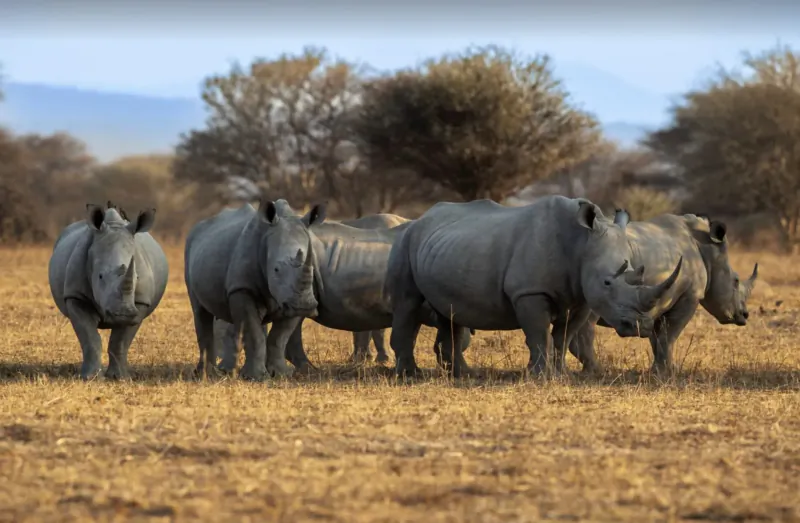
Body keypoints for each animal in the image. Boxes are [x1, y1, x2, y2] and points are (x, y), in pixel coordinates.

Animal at [48, 202, 169, 380]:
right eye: (100, 276)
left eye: (137, 277)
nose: (123, 313)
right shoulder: (76, 296)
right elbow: (91, 339)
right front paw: (90, 378)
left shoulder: (140, 302)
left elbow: (120, 341)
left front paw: (120, 378)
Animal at [184, 199, 326, 380]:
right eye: (276, 269)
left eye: (313, 269)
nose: (304, 306)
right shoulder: (242, 288)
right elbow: (254, 333)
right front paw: (257, 377)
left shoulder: (292, 298)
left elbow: (279, 337)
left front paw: (280, 374)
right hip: (190, 249)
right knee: (200, 311)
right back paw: (208, 375)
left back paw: (227, 372)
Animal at [385, 196, 684, 377]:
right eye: (607, 282)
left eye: (637, 274)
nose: (641, 326)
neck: (581, 242)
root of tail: (419, 218)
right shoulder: (529, 292)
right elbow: (539, 335)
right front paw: (541, 375)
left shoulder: (581, 298)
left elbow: (563, 336)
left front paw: (561, 374)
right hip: (406, 240)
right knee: (408, 303)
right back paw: (409, 374)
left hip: (446, 247)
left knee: (450, 313)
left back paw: (463, 375)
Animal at [568, 210, 758, 374]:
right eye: (736, 281)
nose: (745, 315)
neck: (708, 250)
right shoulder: (689, 296)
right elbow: (669, 335)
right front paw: (664, 372)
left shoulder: (657, 300)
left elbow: (657, 338)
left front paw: (665, 369)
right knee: (588, 321)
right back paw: (597, 371)